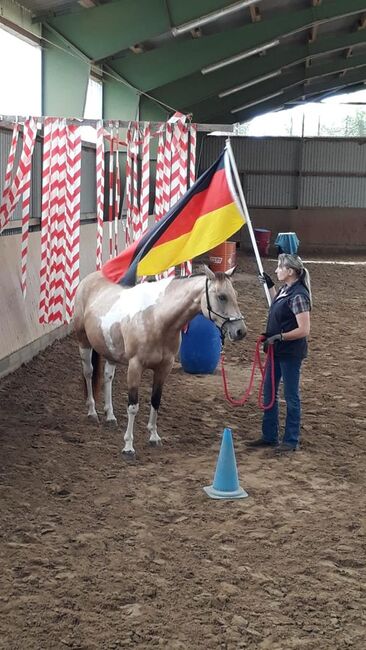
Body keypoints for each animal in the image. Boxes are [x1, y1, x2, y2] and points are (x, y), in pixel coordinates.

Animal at [73, 264, 247, 456]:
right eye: (222, 296)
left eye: (235, 294)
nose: (240, 331)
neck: (156, 319)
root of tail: (89, 279)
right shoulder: (135, 367)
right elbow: (133, 406)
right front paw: (128, 446)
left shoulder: (164, 368)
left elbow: (156, 400)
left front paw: (154, 437)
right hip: (84, 342)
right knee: (88, 373)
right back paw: (92, 412)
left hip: (111, 351)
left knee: (107, 377)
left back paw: (110, 416)